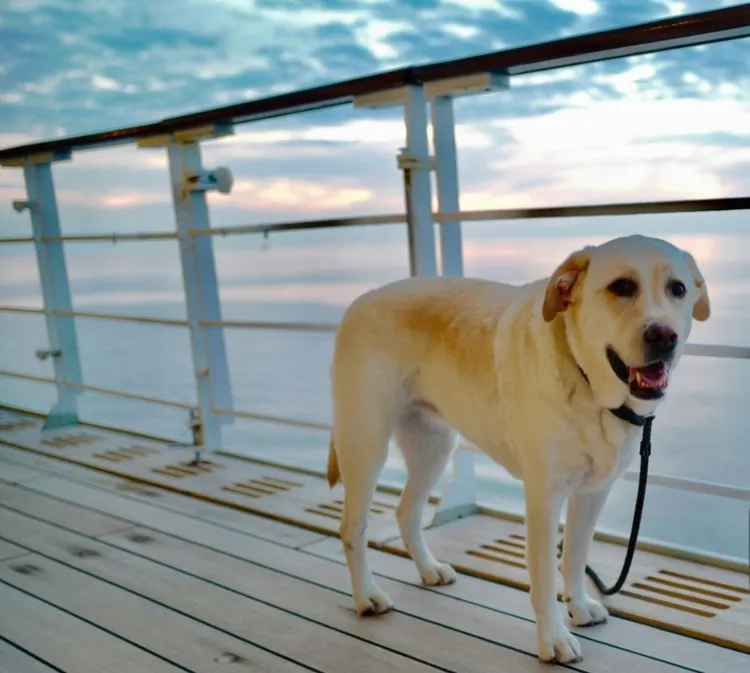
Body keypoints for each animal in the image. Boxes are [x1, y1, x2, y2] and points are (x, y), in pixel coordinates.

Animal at [324, 234, 712, 664]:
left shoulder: (592, 493)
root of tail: (359, 302)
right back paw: (367, 595)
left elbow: (574, 556)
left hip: (434, 448)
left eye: (678, 289)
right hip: (366, 445)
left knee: (406, 513)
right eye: (621, 287)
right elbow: (543, 576)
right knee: (352, 528)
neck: (590, 387)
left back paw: (428, 568)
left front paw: (578, 607)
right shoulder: (544, 498)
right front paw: (553, 638)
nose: (664, 336)